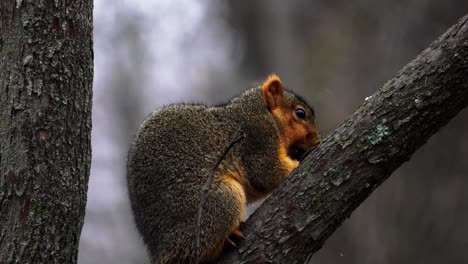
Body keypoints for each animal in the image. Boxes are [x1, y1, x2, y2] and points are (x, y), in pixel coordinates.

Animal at [126, 75, 320, 264]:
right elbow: (265, 172)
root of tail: (161, 250)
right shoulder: (257, 136)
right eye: (300, 113)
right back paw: (227, 239)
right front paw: (298, 162)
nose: (317, 141)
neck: (260, 110)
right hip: (221, 201)